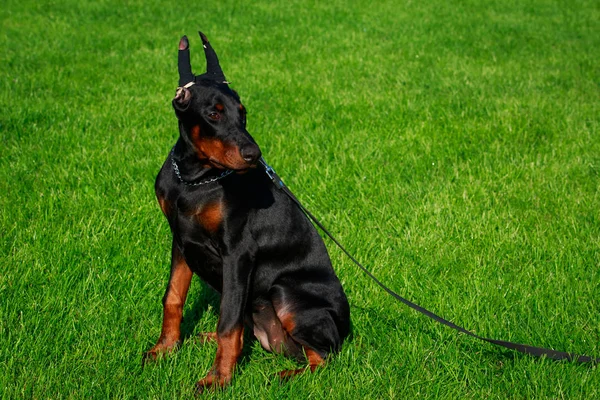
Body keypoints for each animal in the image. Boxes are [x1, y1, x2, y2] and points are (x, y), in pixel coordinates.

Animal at [145, 33, 350, 390]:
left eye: (243, 114)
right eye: (213, 114)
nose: (254, 154)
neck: (195, 179)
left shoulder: (238, 252)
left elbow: (229, 322)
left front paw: (217, 380)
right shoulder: (181, 241)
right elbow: (173, 298)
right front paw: (165, 349)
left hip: (286, 293)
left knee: (324, 357)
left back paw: (286, 375)